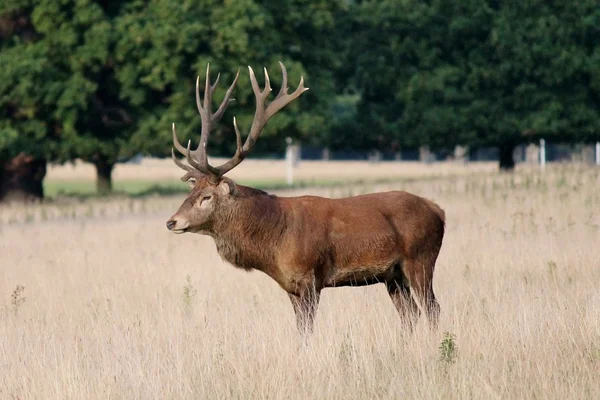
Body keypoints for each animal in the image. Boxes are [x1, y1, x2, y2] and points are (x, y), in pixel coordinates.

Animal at [165, 62, 446, 336]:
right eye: (190, 193)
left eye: (206, 197)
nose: (172, 222)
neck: (273, 241)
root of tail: (438, 211)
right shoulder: (291, 285)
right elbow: (300, 330)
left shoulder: (309, 276)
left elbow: (308, 330)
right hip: (393, 276)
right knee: (410, 314)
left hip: (421, 259)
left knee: (432, 308)